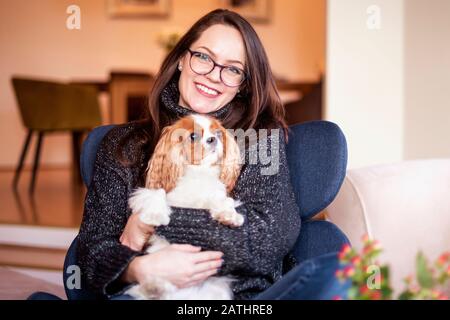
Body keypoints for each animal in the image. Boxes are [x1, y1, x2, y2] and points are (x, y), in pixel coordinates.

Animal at [125, 115, 244, 300]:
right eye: (193, 136)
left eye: (218, 133)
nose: (213, 139)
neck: (198, 173)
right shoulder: (150, 192)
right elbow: (157, 193)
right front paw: (155, 215)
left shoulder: (214, 193)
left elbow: (220, 199)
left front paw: (229, 215)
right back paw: (154, 286)